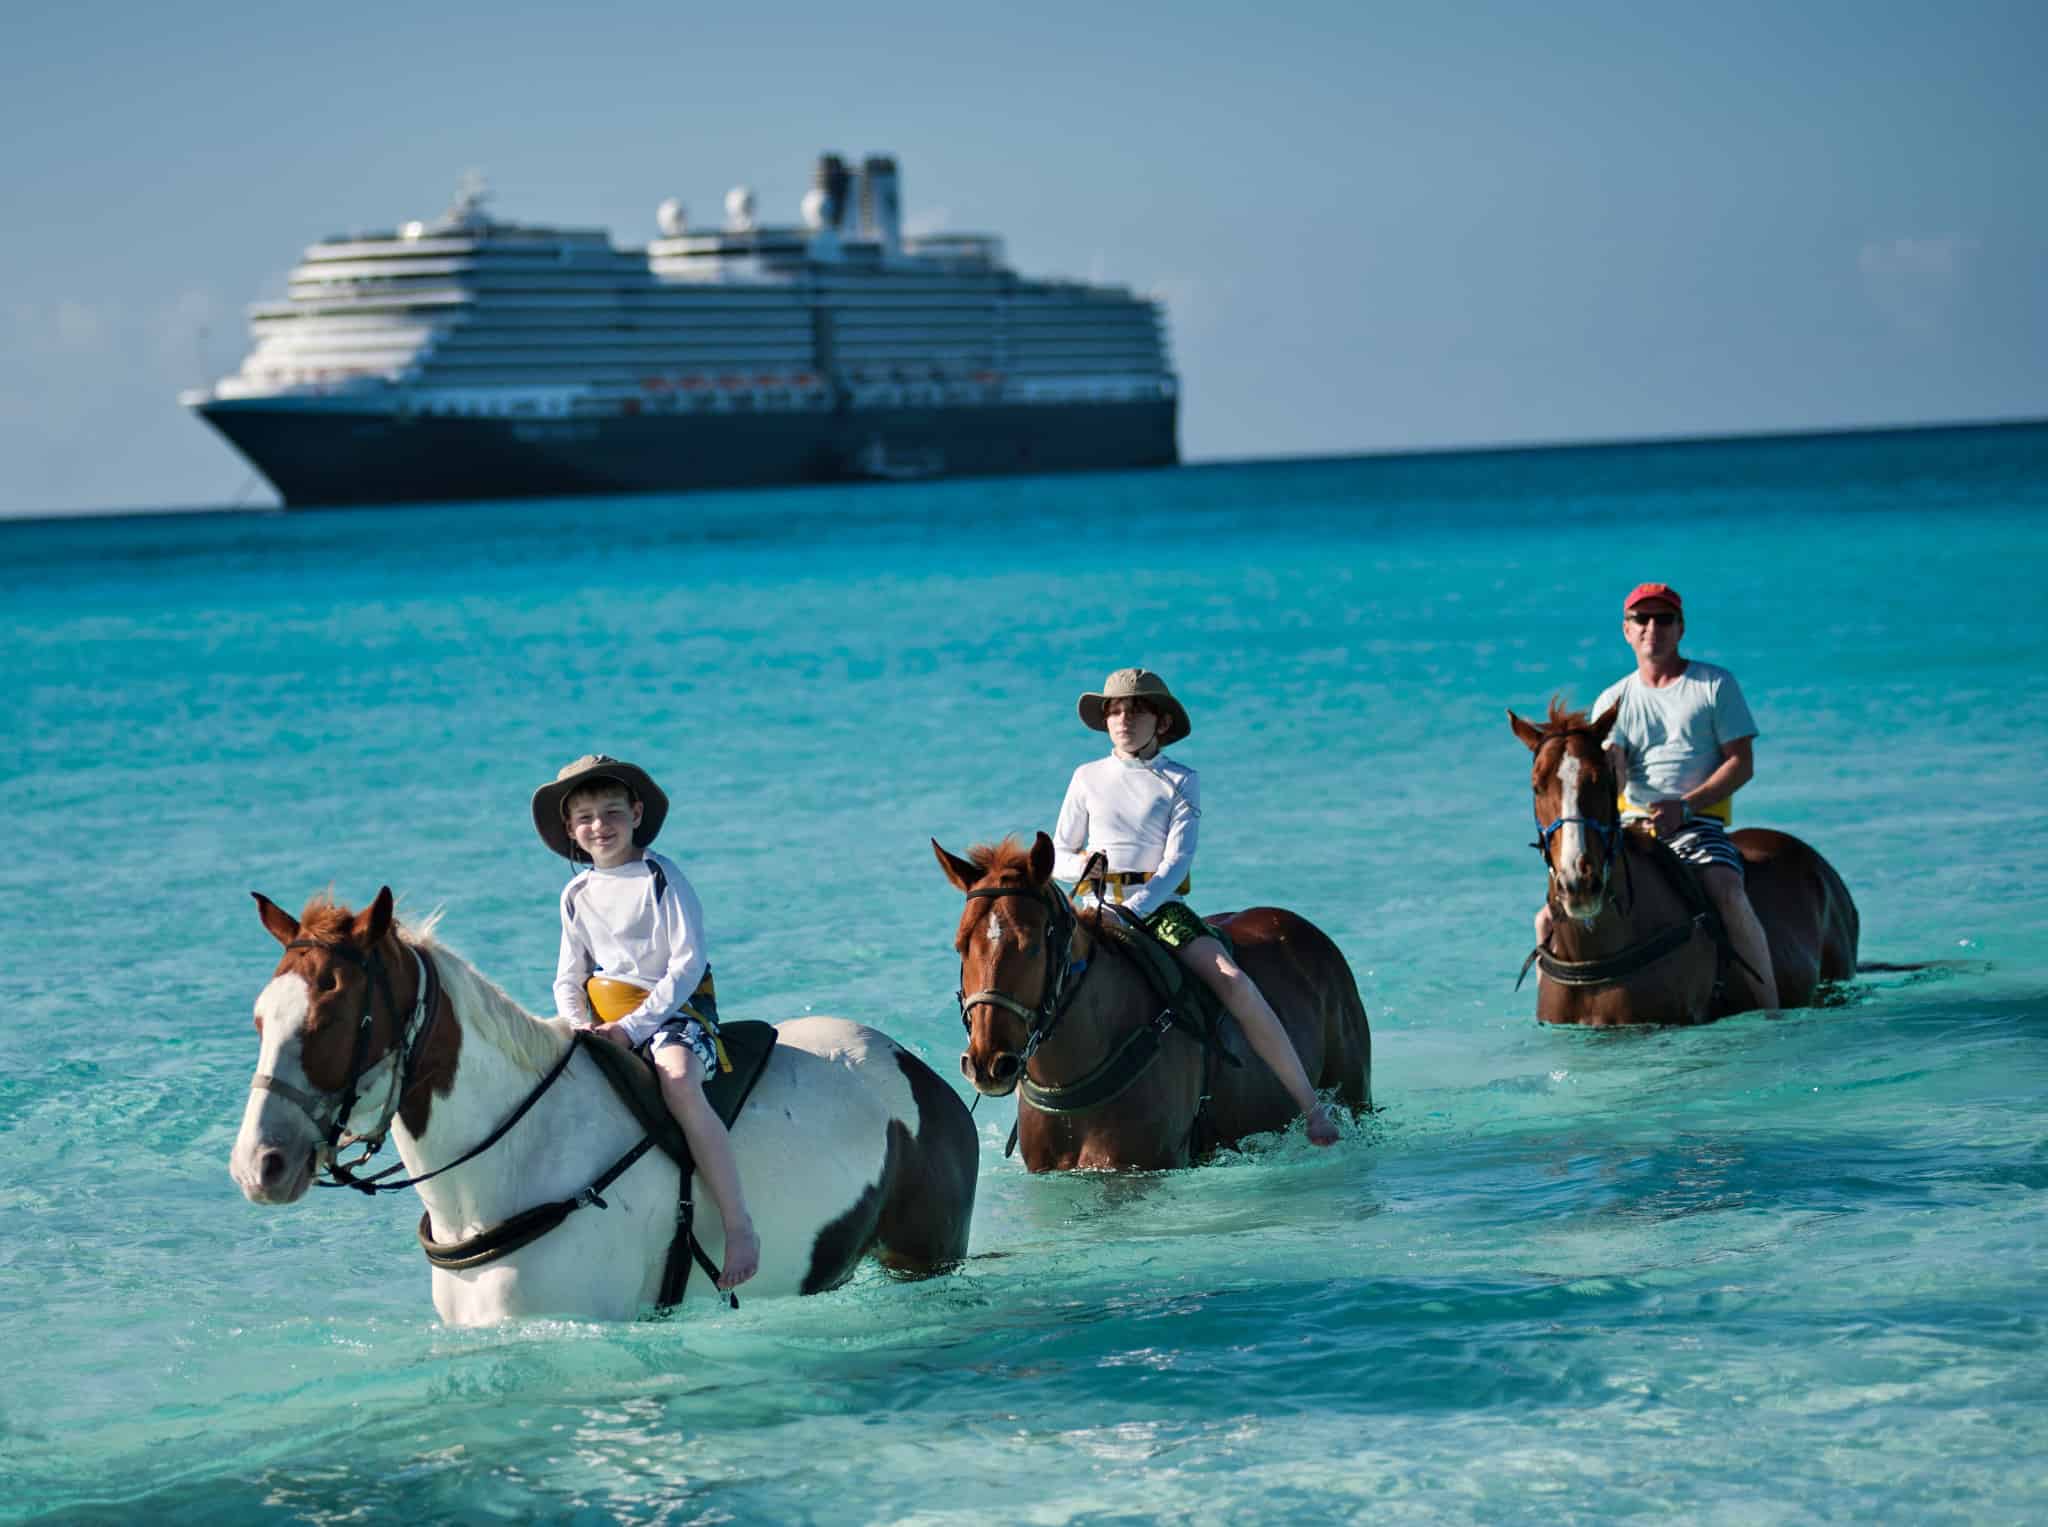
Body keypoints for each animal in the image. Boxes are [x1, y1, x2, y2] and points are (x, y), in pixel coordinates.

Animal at [228, 888, 978, 1318]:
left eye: (330, 1020)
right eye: (260, 1019)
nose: (258, 1165)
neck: (517, 1155)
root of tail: (927, 1078)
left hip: (925, 1256)